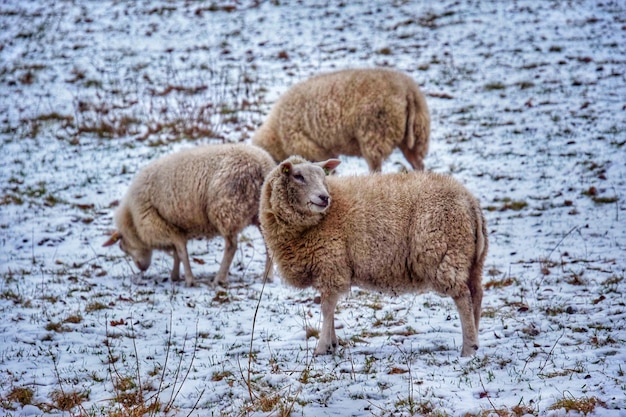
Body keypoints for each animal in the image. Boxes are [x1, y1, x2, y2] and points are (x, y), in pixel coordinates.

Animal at [103, 143, 274, 286]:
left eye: (122, 247)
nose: (141, 268)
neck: (132, 219)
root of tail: (262, 166)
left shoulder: (161, 224)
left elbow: (181, 252)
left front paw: (189, 280)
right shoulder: (174, 226)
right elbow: (177, 253)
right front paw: (175, 275)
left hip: (226, 210)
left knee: (231, 246)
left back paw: (219, 279)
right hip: (260, 214)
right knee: (268, 245)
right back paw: (267, 277)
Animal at [251, 67, 432, 171]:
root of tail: (407, 90)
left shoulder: (311, 148)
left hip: (375, 135)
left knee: (376, 168)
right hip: (416, 135)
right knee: (419, 164)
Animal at [258, 154, 488, 356]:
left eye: (323, 176)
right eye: (298, 176)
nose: (324, 197)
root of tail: (469, 200)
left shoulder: (331, 263)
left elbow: (327, 308)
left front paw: (322, 347)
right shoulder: (329, 267)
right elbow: (330, 307)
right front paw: (332, 344)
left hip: (443, 253)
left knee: (463, 297)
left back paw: (468, 349)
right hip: (470, 259)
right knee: (476, 294)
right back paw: (475, 339)